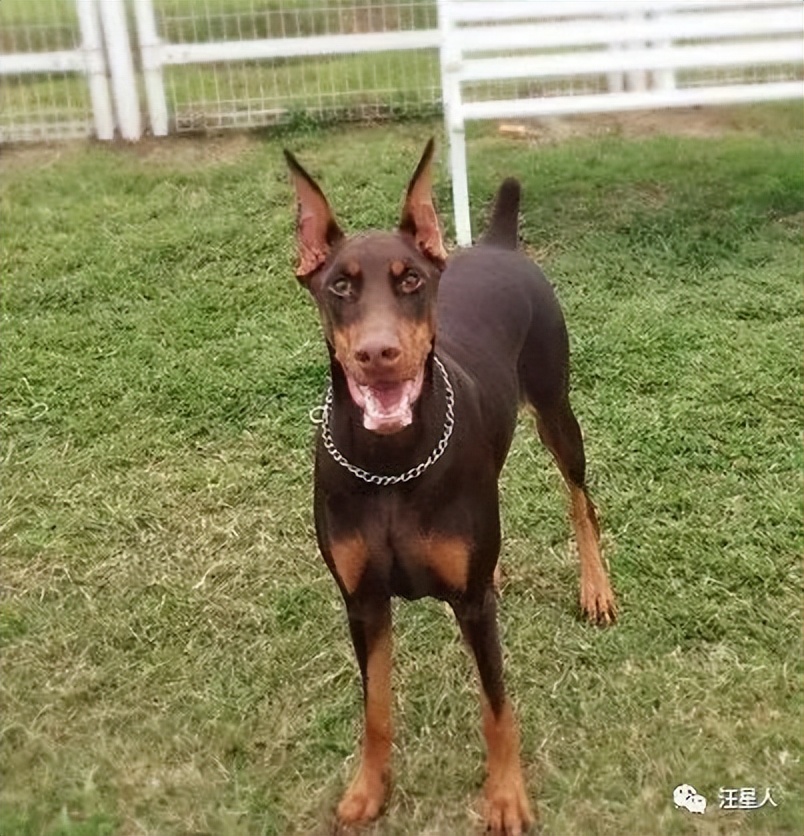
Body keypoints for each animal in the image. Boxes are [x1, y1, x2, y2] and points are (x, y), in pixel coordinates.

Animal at [284, 140, 616, 832]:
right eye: (339, 286)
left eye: (410, 280)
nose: (377, 354)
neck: (392, 463)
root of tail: (497, 243)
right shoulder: (362, 602)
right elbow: (376, 709)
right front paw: (369, 790)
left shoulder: (471, 608)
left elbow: (497, 707)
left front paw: (507, 796)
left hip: (555, 407)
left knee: (581, 501)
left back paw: (596, 587)